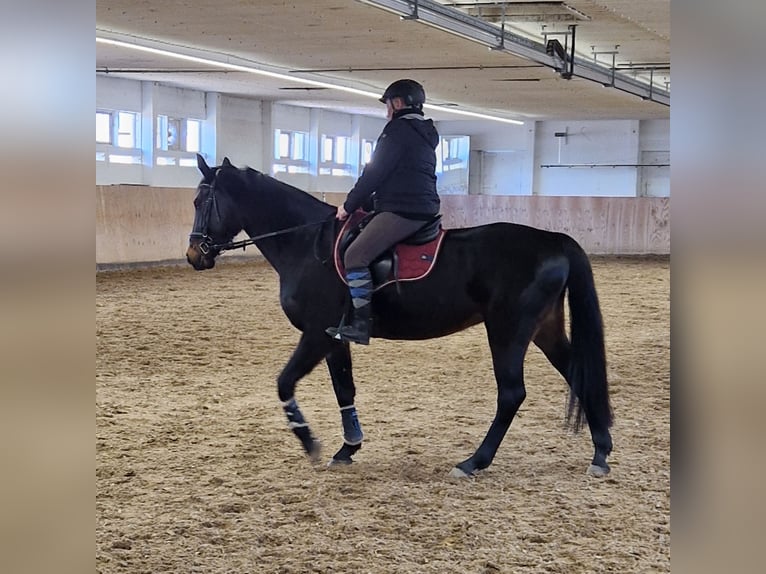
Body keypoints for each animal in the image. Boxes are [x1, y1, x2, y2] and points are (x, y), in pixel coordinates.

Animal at [188, 155, 616, 480]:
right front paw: (348, 447)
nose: (194, 255)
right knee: (577, 373)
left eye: (200, 202)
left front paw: (309, 442)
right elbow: (344, 390)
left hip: (508, 331)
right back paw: (600, 452)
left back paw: (473, 462)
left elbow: (284, 383)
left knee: (511, 394)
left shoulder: (315, 335)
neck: (307, 245)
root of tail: (554, 240)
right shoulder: (334, 337)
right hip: (544, 329)